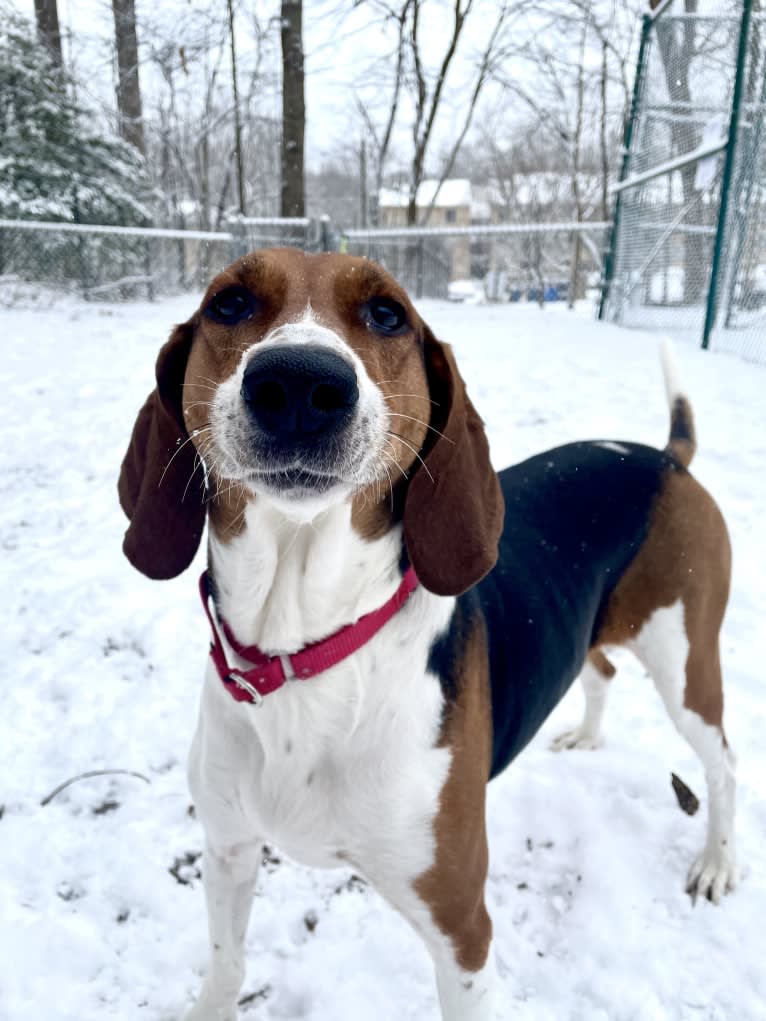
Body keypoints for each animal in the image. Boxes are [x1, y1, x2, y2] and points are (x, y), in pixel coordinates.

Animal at [118, 249, 739, 1021]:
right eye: (229, 304)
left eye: (388, 314)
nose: (299, 382)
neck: (304, 649)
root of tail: (664, 457)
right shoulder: (228, 849)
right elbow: (226, 966)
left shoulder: (462, 928)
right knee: (603, 670)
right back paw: (587, 735)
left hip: (686, 665)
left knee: (724, 764)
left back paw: (717, 861)